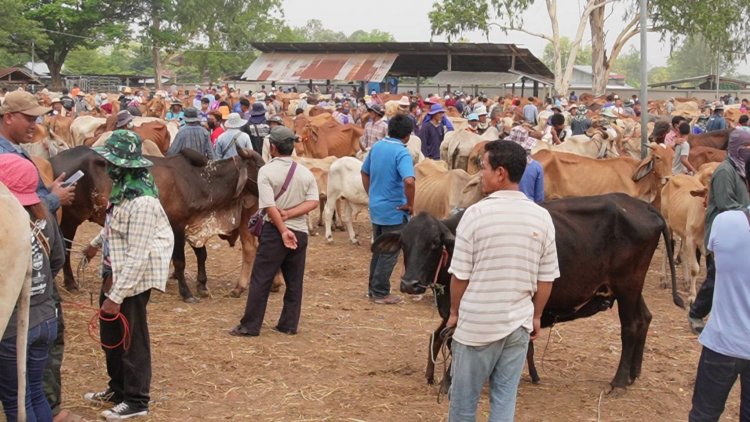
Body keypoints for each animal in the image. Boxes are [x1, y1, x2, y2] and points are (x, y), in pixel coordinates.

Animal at [374, 193, 684, 390]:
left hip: (627, 285)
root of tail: (643, 206)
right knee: (644, 319)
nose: (410, 284)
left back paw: (619, 381)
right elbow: (443, 336)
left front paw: (451, 380)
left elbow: (455, 340)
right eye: (404, 243)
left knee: (630, 326)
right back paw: (634, 373)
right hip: (629, 288)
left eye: (434, 243)